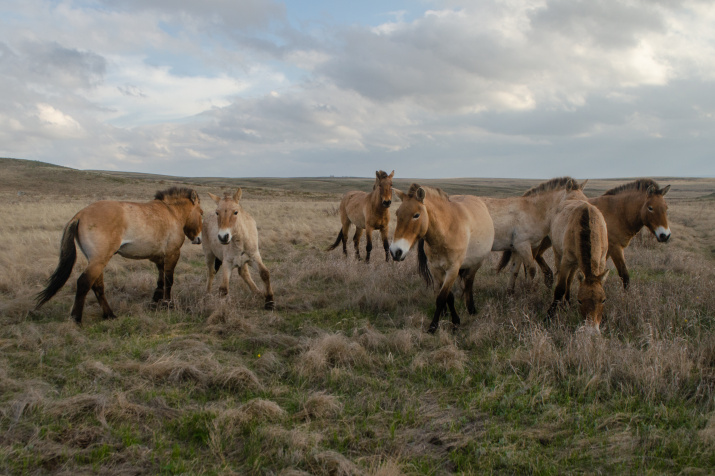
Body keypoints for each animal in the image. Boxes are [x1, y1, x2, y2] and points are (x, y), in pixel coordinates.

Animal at [36, 186, 204, 324]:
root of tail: (79, 215)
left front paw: (155, 302)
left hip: (97, 261)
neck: (171, 213)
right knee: (84, 282)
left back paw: (109, 315)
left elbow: (160, 281)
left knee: (97, 285)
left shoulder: (159, 258)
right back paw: (76, 318)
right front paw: (167, 304)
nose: (199, 238)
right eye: (201, 213)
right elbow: (168, 281)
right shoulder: (172, 254)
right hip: (99, 260)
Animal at [388, 184, 496, 332]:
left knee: (469, 282)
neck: (446, 230)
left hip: (476, 264)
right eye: (397, 214)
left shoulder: (453, 269)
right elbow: (447, 296)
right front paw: (453, 319)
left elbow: (441, 297)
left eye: (416, 215)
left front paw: (435, 326)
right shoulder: (436, 269)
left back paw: (471, 309)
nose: (395, 251)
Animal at [548, 199, 608, 330]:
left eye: (603, 300)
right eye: (580, 300)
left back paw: (567, 303)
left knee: (570, 280)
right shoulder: (567, 261)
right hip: (558, 254)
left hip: (576, 264)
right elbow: (560, 288)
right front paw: (550, 315)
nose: (592, 329)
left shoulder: (601, 261)